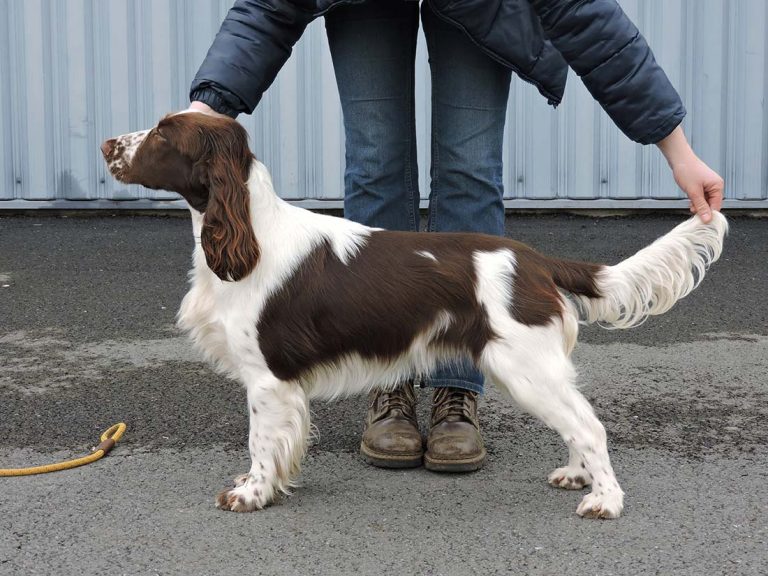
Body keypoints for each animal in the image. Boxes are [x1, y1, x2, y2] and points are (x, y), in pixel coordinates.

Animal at [100, 112, 728, 516]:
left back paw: (605, 500)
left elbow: (260, 443)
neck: (249, 232)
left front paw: (250, 495)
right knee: (577, 421)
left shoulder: (268, 378)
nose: (107, 144)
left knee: (590, 425)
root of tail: (535, 260)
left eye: (163, 132)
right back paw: (577, 476)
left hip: (526, 368)